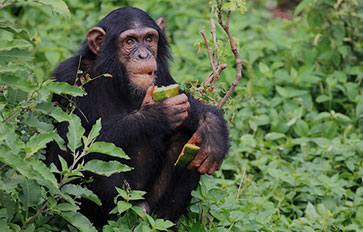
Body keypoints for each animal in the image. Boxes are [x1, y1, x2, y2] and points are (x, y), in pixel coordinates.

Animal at [47, 6, 229, 227]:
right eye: (130, 41)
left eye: (149, 39)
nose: (143, 55)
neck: (117, 79)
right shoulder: (69, 79)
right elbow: (63, 155)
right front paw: (154, 115)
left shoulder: (162, 75)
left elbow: (186, 102)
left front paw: (213, 130)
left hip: (150, 205)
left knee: (187, 140)